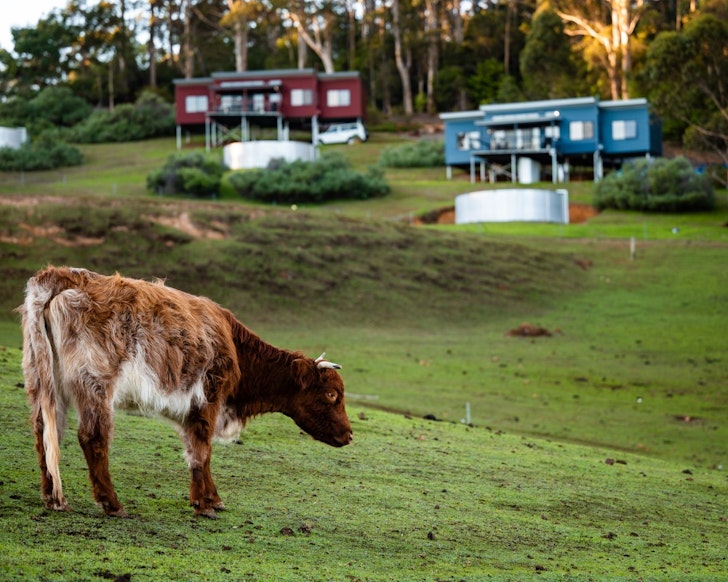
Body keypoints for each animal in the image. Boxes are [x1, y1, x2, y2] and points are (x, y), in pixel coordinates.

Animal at [18, 266, 352, 518]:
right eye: (332, 395)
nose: (349, 435)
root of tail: (61, 275)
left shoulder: (193, 408)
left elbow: (198, 452)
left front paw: (211, 498)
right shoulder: (208, 399)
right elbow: (201, 451)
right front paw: (205, 505)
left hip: (43, 380)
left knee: (44, 430)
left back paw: (52, 497)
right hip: (95, 384)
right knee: (92, 437)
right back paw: (112, 504)